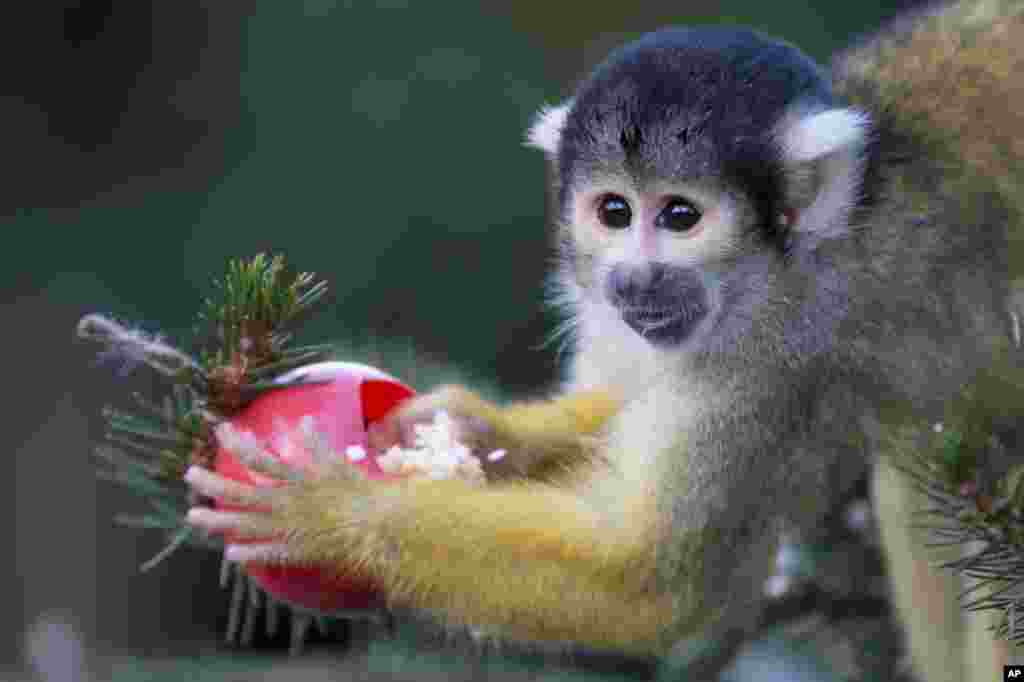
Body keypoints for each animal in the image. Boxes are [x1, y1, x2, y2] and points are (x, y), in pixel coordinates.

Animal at [186, 2, 1024, 675]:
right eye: (614, 212)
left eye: (680, 216)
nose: (634, 279)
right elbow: (618, 402)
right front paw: (474, 427)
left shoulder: (774, 349)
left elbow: (646, 582)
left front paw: (330, 517)